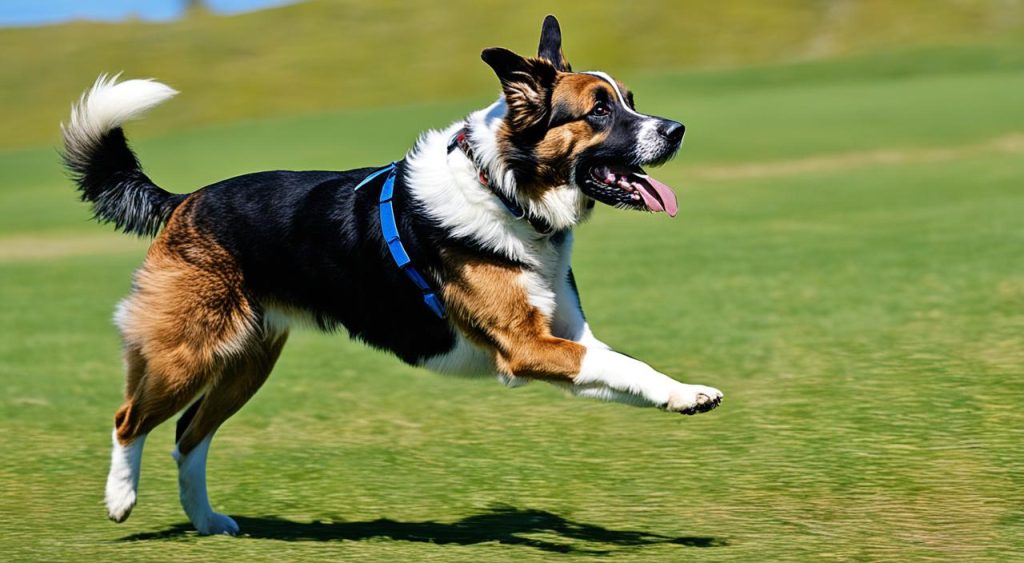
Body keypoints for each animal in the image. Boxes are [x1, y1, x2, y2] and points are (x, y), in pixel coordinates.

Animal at [61, 16, 720, 540]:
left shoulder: (569, 341)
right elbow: (622, 366)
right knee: (130, 420)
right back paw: (120, 500)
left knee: (188, 437)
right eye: (600, 110)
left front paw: (685, 394)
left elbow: (625, 366)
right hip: (186, 352)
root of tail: (183, 202)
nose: (679, 129)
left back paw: (207, 522)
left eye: (630, 99)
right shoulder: (526, 348)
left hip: (247, 360)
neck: (505, 189)